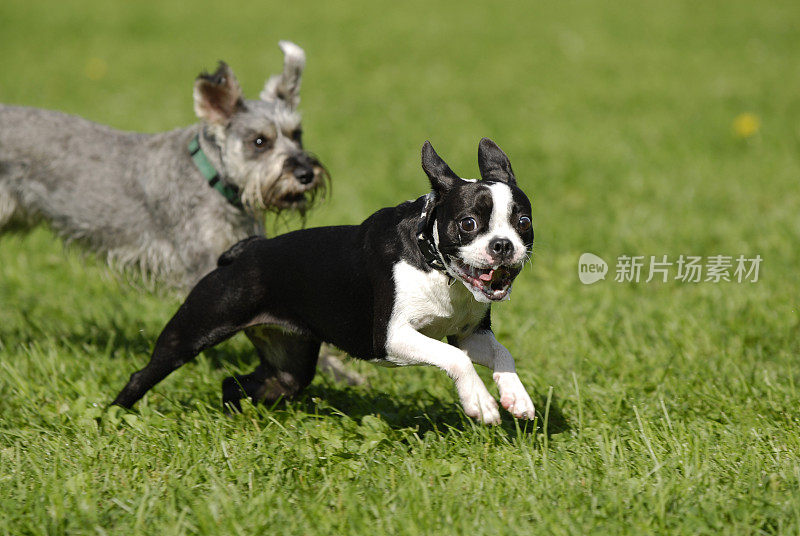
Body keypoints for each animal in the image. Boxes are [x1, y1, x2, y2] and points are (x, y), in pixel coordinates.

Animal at [0, 42, 360, 386]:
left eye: (297, 134)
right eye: (260, 142)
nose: (305, 173)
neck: (213, 179)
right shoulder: (217, 269)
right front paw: (341, 372)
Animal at [112, 140, 536, 426]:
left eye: (523, 222)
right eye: (468, 223)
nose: (503, 245)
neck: (436, 265)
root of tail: (245, 251)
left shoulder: (469, 333)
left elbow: (501, 353)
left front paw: (516, 396)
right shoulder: (392, 337)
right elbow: (456, 359)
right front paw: (479, 402)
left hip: (289, 365)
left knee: (237, 383)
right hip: (194, 329)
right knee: (142, 375)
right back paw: (113, 419)